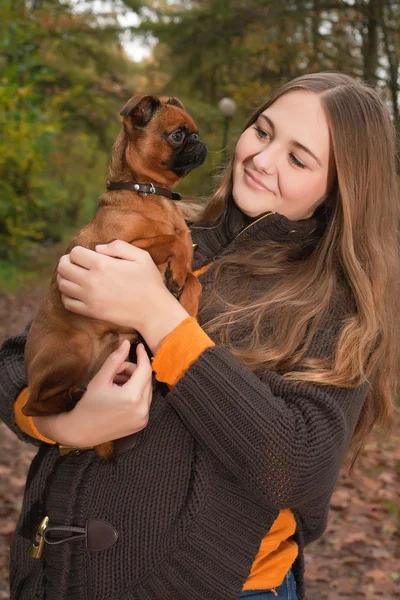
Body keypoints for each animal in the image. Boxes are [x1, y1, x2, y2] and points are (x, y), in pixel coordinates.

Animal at [23, 95, 208, 460]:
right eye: (177, 135)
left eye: (193, 132)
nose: (199, 140)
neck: (150, 193)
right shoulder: (115, 250)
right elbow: (173, 239)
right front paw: (180, 262)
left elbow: (192, 275)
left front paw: (188, 304)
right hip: (75, 347)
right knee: (31, 406)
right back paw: (71, 400)